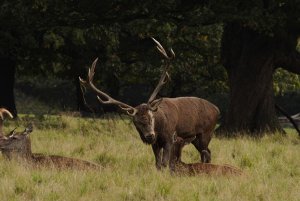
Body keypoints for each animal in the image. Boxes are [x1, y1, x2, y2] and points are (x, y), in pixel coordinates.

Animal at [79, 37, 220, 170]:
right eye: (137, 122)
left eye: (152, 117)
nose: (150, 135)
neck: (160, 128)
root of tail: (217, 110)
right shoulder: (155, 144)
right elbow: (157, 164)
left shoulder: (169, 138)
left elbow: (164, 163)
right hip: (195, 138)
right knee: (208, 152)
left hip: (206, 133)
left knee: (205, 153)